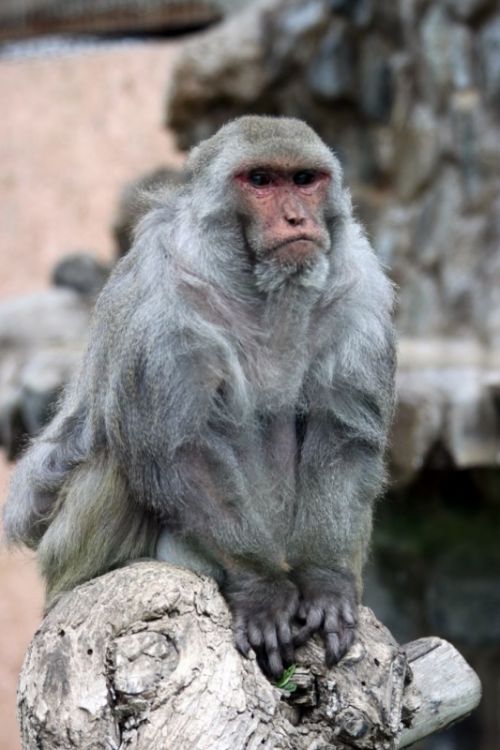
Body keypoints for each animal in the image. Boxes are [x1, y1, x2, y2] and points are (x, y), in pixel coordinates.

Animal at [3, 116, 395, 678]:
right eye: (260, 180)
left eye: (304, 180)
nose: (297, 217)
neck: (260, 289)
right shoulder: (164, 293)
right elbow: (181, 450)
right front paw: (260, 589)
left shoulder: (359, 286)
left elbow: (342, 434)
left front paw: (324, 581)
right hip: (65, 558)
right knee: (121, 456)